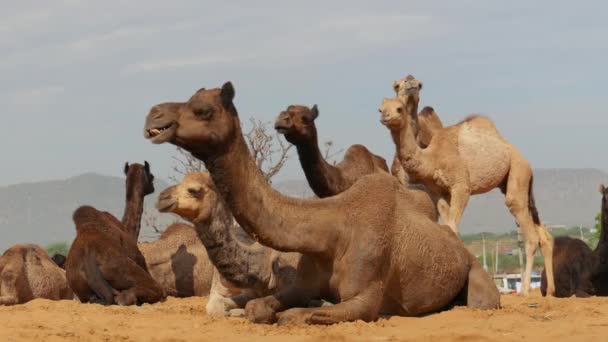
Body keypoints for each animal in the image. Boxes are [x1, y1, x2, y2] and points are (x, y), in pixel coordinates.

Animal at [380, 75, 556, 296]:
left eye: (399, 109)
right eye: (380, 108)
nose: (386, 116)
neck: (431, 156)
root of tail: (525, 160)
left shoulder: (461, 186)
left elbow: (453, 227)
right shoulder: (437, 192)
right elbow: (447, 227)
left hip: (518, 170)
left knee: (527, 228)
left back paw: (525, 290)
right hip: (513, 182)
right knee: (544, 234)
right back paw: (550, 291)